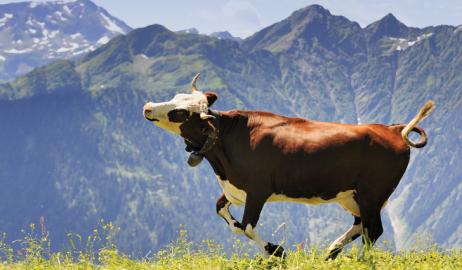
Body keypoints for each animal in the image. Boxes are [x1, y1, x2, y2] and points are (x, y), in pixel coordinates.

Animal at [143, 74, 434, 260]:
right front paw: (275, 251)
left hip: (373, 193)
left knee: (373, 230)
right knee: (361, 225)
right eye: (175, 97)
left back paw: (359, 260)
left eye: (180, 113)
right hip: (351, 195)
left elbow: (247, 227)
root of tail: (393, 129)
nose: (147, 106)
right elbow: (226, 216)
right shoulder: (234, 190)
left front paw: (277, 252)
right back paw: (331, 251)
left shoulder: (258, 190)